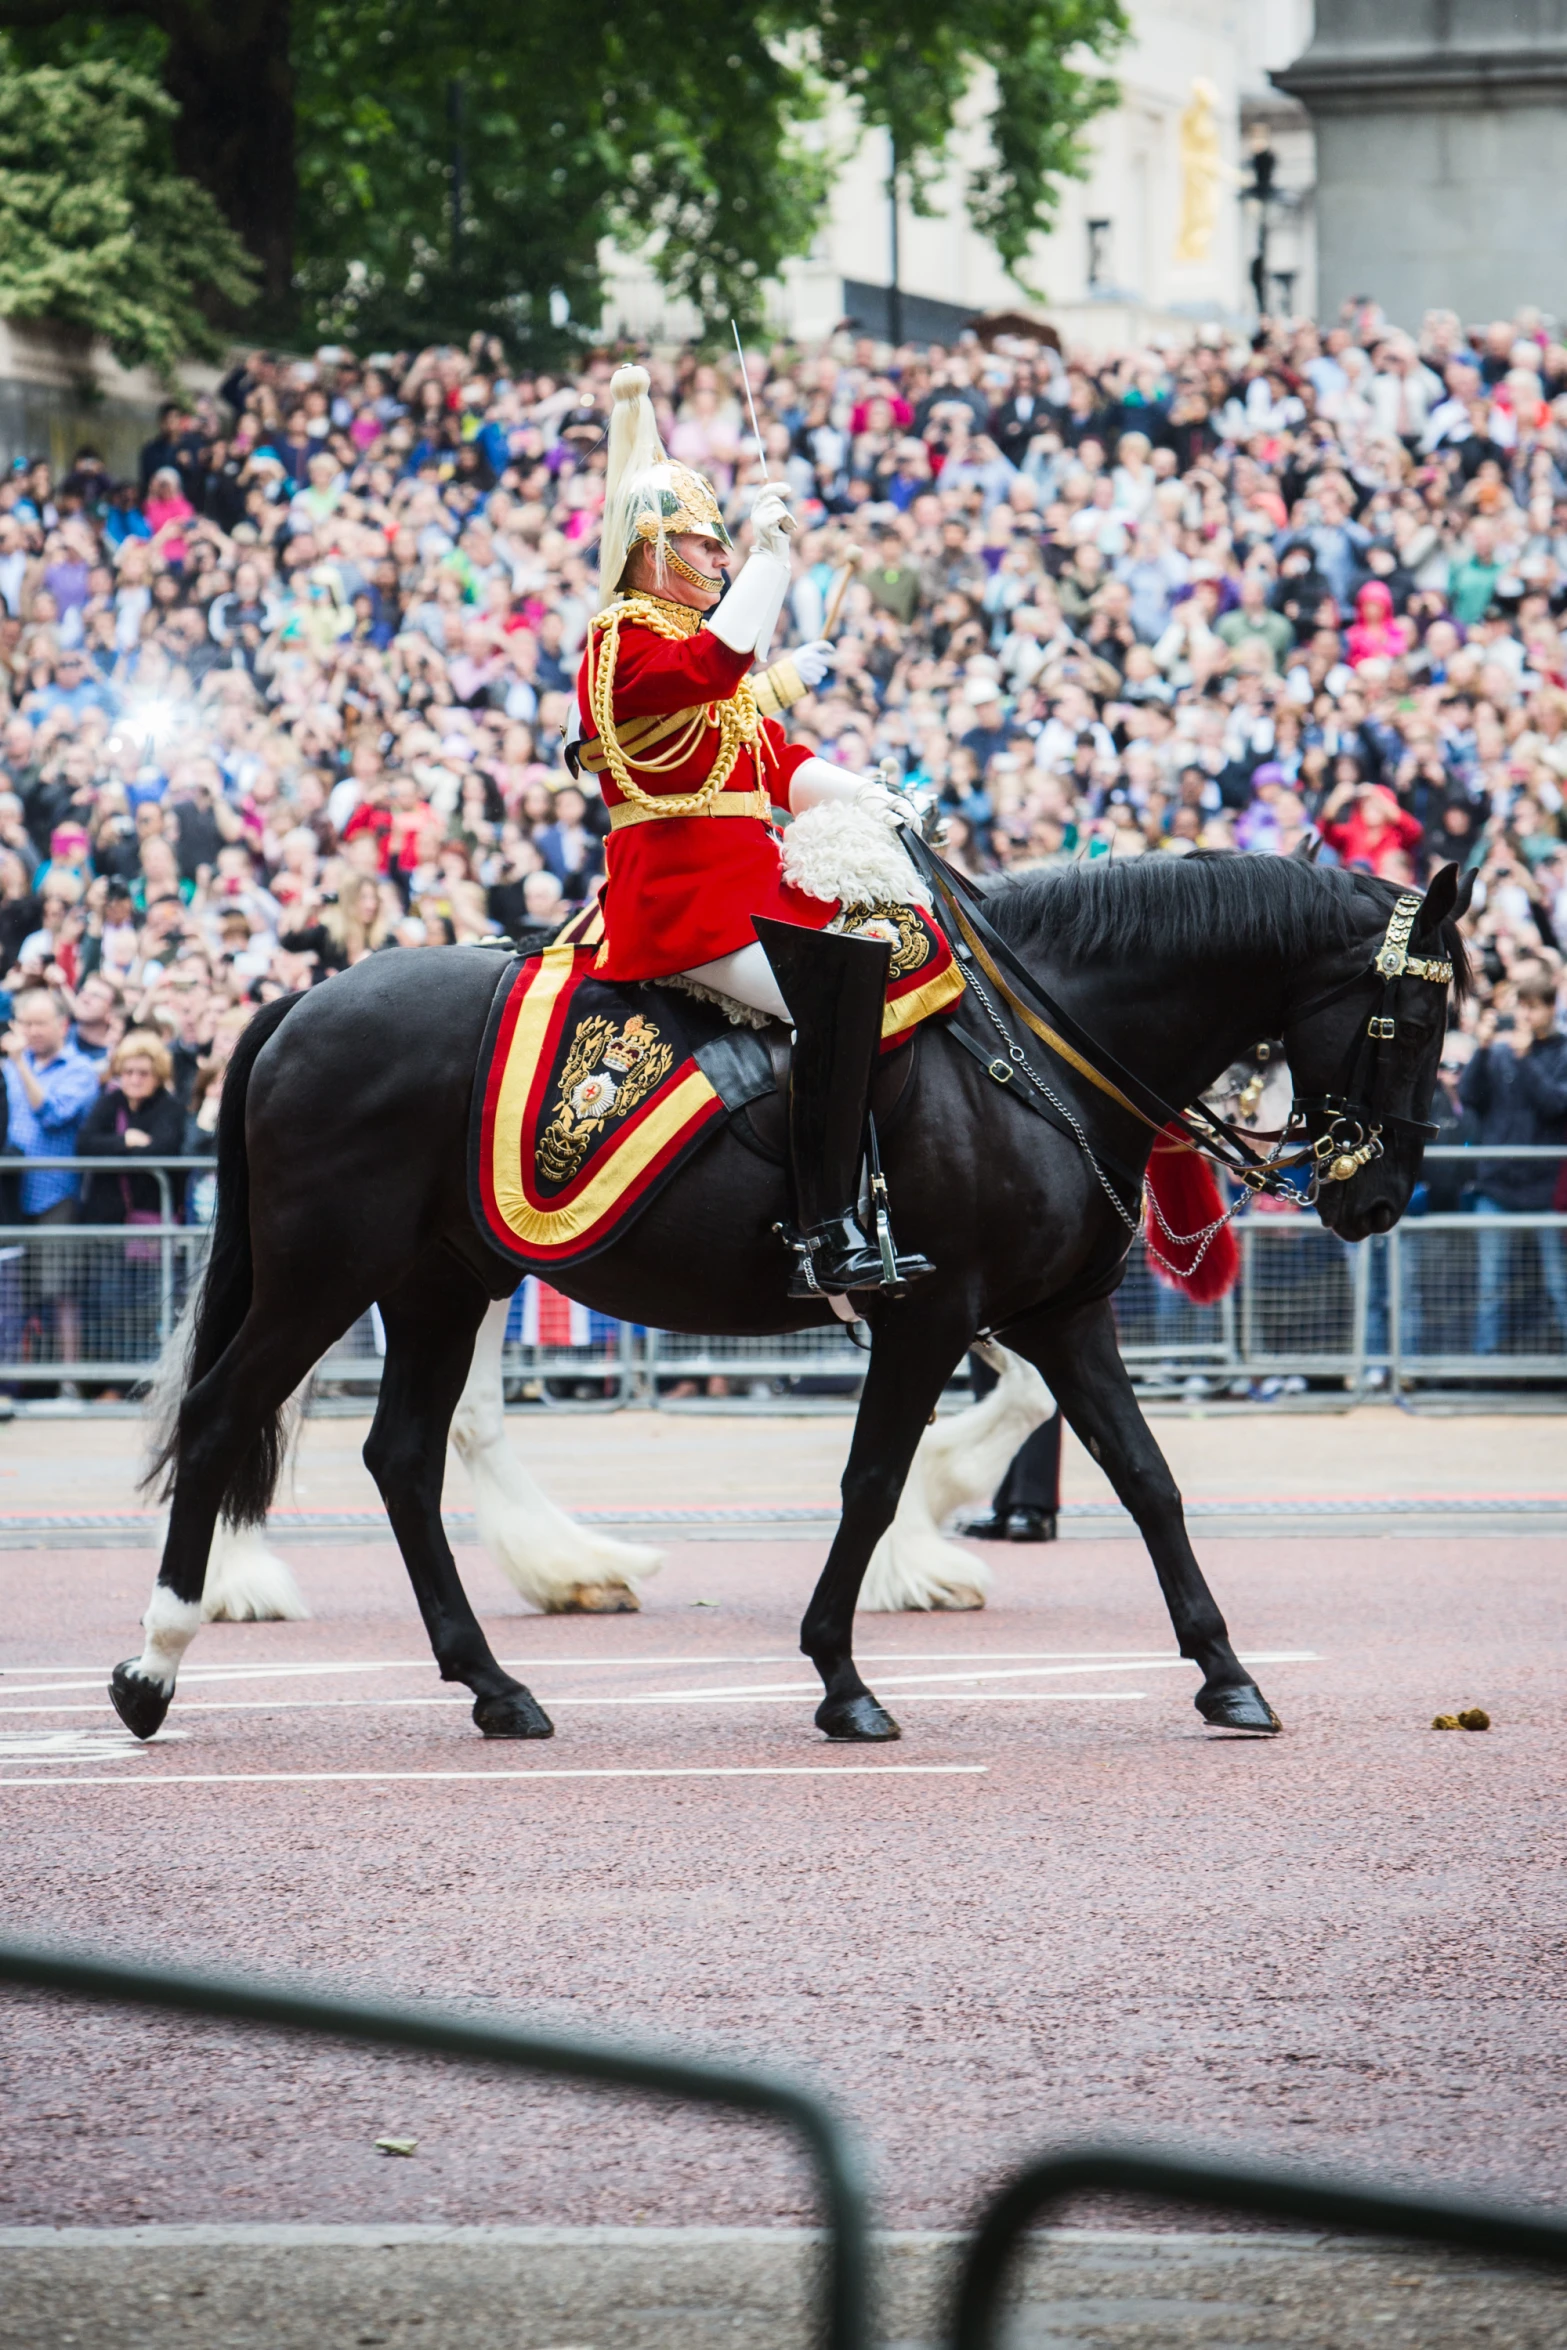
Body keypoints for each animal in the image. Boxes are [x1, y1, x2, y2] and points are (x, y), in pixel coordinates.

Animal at [110, 850, 1475, 1748]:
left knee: (403, 1454)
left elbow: (1147, 1481)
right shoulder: (930, 1315)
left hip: (445, 1282)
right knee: (227, 1414)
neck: (1038, 1048)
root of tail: (305, 1000)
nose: (1378, 1195)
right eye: (1414, 1015)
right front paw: (844, 1673)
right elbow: (870, 1481)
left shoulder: (1059, 1314)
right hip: (326, 1273)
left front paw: (1224, 1671)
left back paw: (497, 1680)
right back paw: (160, 1660)